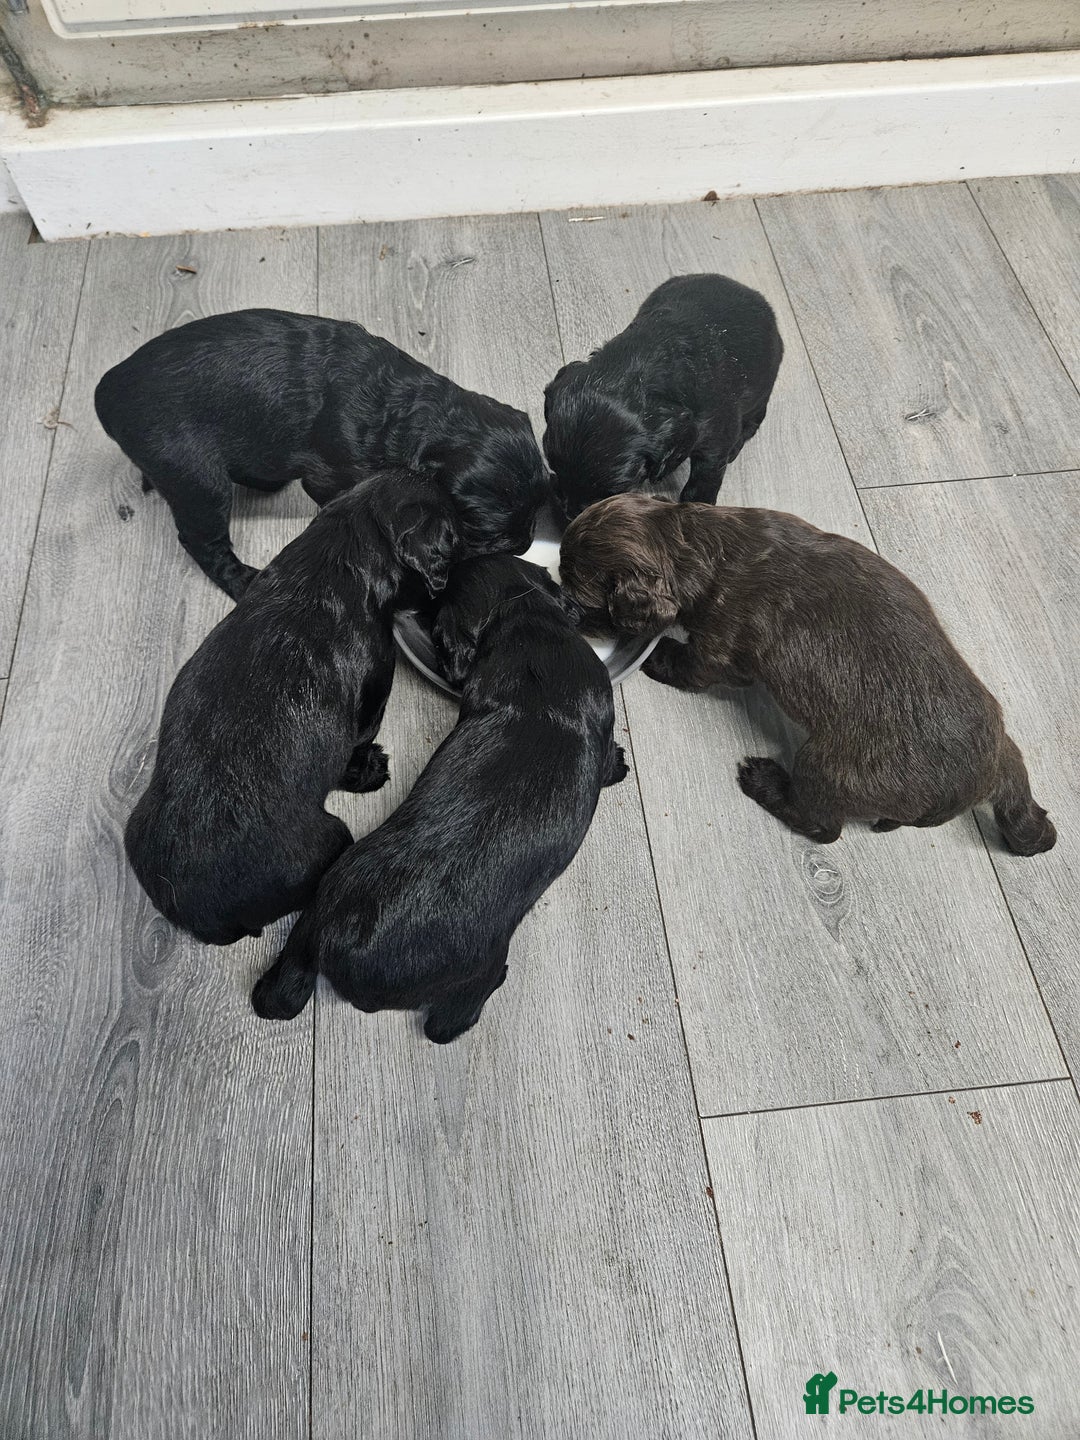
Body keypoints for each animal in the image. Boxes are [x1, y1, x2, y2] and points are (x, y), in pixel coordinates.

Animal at [96, 308, 547, 598]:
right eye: (483, 532)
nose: (523, 545)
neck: (415, 413)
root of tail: (107, 391)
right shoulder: (332, 477)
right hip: (197, 480)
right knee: (203, 542)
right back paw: (243, 580)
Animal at [125, 469, 466, 946]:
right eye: (456, 536)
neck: (343, 550)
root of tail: (205, 916)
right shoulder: (370, 702)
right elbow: (357, 749)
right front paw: (371, 769)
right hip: (332, 835)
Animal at [250, 554, 629, 1041]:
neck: (524, 620)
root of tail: (339, 939)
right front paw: (620, 764)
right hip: (479, 964)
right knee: (448, 1022)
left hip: (318, 905)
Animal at [542, 274, 783, 522]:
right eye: (554, 467)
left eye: (613, 491)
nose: (570, 514)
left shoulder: (714, 440)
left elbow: (702, 482)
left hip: (761, 392)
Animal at [559, 493, 1057, 855]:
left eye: (580, 594)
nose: (563, 608)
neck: (696, 544)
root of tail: (993, 767)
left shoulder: (722, 646)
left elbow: (694, 666)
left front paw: (660, 655)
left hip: (828, 767)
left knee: (823, 825)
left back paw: (764, 781)